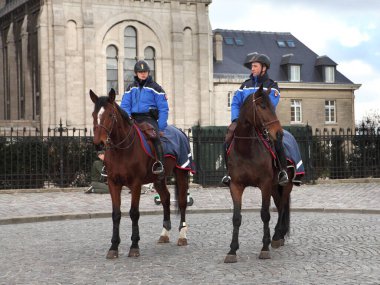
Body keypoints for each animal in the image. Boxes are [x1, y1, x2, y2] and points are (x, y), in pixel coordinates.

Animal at [88, 88, 190, 258]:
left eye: (111, 115)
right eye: (94, 114)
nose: (99, 144)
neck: (121, 150)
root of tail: (180, 132)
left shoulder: (135, 184)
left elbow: (134, 213)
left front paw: (134, 245)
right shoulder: (113, 183)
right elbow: (116, 214)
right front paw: (113, 247)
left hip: (182, 173)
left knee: (182, 202)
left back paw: (182, 235)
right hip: (158, 179)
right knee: (166, 198)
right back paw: (164, 233)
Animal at [224, 84, 292, 262]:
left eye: (272, 106)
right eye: (262, 106)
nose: (279, 133)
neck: (246, 149)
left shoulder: (265, 185)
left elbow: (265, 214)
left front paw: (265, 247)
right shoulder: (236, 186)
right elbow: (236, 218)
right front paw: (232, 250)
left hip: (285, 185)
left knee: (282, 207)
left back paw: (276, 237)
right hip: (275, 188)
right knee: (280, 206)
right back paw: (279, 236)